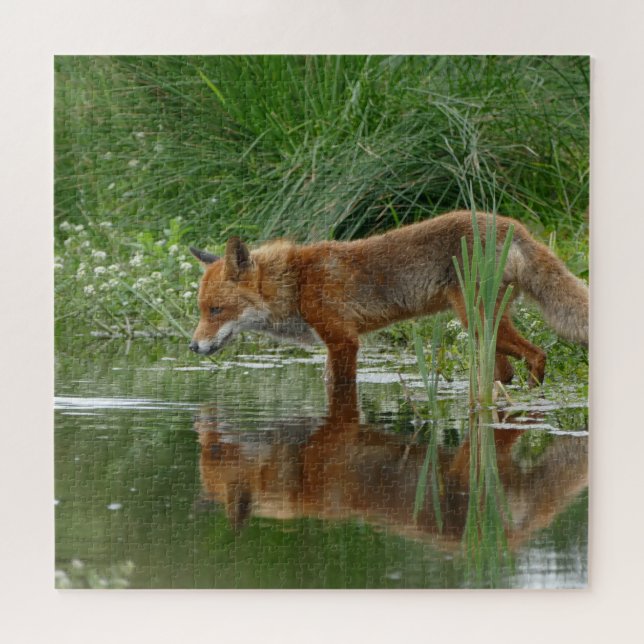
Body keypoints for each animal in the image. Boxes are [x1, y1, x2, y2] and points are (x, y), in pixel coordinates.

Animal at [188, 210, 588, 386]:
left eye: (217, 310)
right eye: (202, 310)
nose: (192, 347)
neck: (297, 284)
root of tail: (513, 225)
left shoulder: (343, 341)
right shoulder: (336, 344)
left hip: (478, 322)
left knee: (538, 354)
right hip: (484, 331)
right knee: (505, 371)